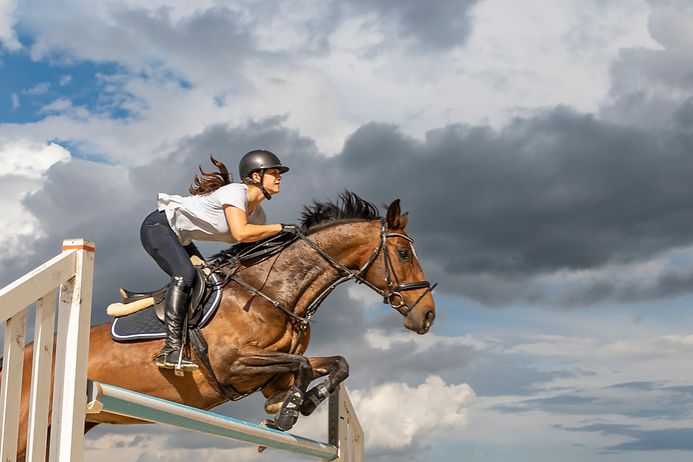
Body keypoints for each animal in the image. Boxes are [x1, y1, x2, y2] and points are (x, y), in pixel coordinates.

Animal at [5, 191, 436, 458]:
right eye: (403, 253)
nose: (428, 315)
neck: (273, 292)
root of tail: (26, 353)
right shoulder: (234, 364)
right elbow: (301, 365)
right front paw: (286, 412)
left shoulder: (271, 371)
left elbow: (336, 364)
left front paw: (302, 402)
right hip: (26, 426)